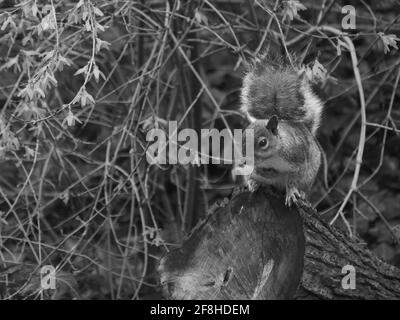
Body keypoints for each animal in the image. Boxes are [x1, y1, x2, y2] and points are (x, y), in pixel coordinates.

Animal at [236, 54, 324, 205]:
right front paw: (265, 173)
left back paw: (302, 193)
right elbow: (260, 171)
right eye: (242, 137)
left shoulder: (298, 159)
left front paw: (291, 192)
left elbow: (293, 180)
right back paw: (253, 183)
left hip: (309, 176)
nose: (244, 161)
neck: (271, 157)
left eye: (263, 142)